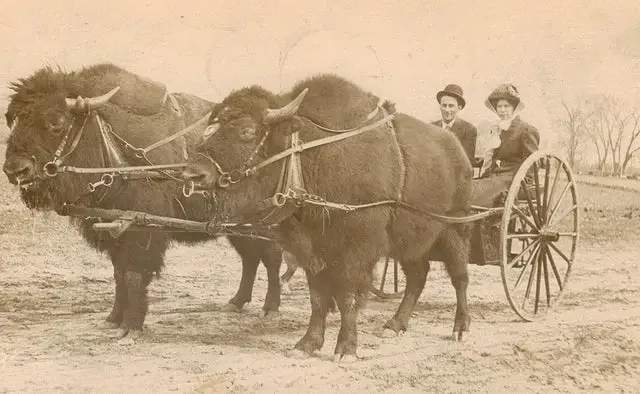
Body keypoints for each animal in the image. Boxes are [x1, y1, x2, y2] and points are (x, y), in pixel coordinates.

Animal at [0, 63, 284, 340]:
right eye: (14, 119)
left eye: (56, 122)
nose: (16, 170)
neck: (113, 144)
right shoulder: (114, 232)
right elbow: (118, 275)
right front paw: (113, 319)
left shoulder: (141, 233)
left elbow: (133, 275)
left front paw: (131, 328)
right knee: (251, 258)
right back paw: (236, 302)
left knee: (271, 257)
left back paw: (270, 308)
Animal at [182, 74, 472, 360]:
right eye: (212, 128)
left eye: (247, 131)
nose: (192, 173)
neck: (307, 155)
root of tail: (458, 151)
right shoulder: (312, 250)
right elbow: (318, 296)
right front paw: (306, 344)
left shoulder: (355, 251)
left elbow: (347, 296)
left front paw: (345, 349)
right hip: (412, 241)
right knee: (417, 277)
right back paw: (394, 325)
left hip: (453, 230)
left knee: (459, 276)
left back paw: (460, 328)